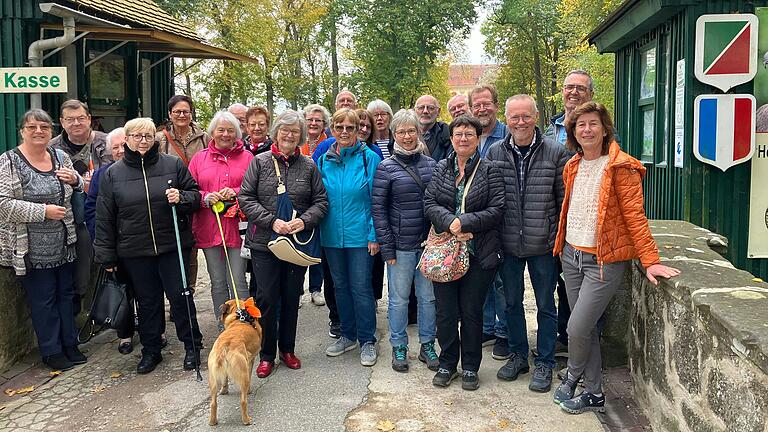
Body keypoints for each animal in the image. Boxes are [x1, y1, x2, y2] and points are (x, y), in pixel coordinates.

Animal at [208, 296, 262, 426]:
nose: (218, 318)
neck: (239, 319)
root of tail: (225, 346)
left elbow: (225, 380)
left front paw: (224, 390)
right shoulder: (250, 361)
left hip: (212, 379)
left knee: (213, 403)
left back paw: (213, 421)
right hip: (243, 374)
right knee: (243, 401)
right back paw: (246, 420)